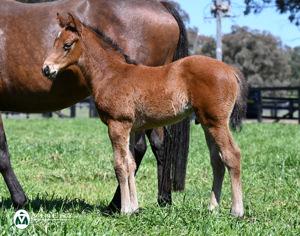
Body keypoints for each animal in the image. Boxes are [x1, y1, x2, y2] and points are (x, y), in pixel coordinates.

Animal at [0, 0, 189, 210]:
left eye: (67, 45)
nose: (46, 69)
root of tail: (161, 6)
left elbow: (2, 153)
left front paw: (20, 200)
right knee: (159, 144)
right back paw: (163, 199)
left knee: (138, 150)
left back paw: (117, 205)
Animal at [42, 13, 248, 217]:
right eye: (54, 41)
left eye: (67, 45)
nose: (46, 69)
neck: (110, 74)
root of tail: (230, 70)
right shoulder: (130, 128)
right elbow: (131, 164)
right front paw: (134, 208)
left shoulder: (117, 124)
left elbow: (120, 165)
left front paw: (124, 210)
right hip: (206, 123)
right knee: (217, 161)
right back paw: (212, 208)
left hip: (216, 122)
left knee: (232, 155)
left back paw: (237, 211)